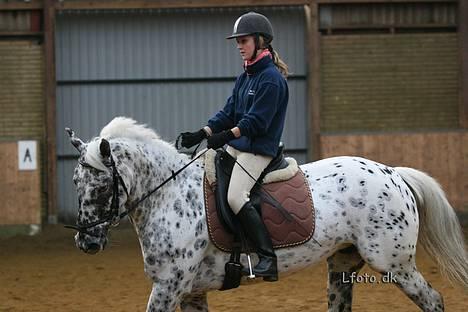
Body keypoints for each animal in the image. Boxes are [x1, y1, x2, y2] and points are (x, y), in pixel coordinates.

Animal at [67, 117, 466, 312]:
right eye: (75, 182)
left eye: (100, 188)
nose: (86, 242)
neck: (170, 194)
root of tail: (393, 173)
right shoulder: (191, 291)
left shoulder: (170, 286)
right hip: (341, 265)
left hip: (393, 264)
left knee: (433, 300)